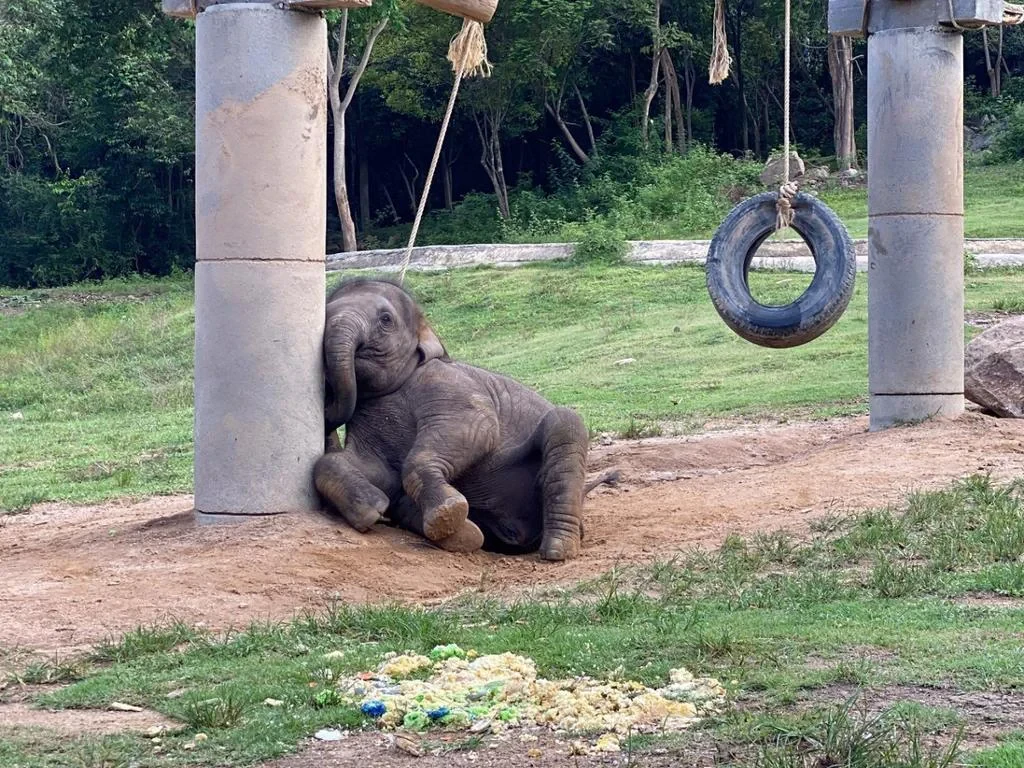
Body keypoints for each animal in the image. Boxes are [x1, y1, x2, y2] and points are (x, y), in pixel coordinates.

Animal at [313, 277, 615, 561]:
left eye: (386, 319)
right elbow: (351, 465)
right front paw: (372, 510)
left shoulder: (447, 384)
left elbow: (476, 429)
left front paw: (448, 514)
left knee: (565, 423)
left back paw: (558, 551)